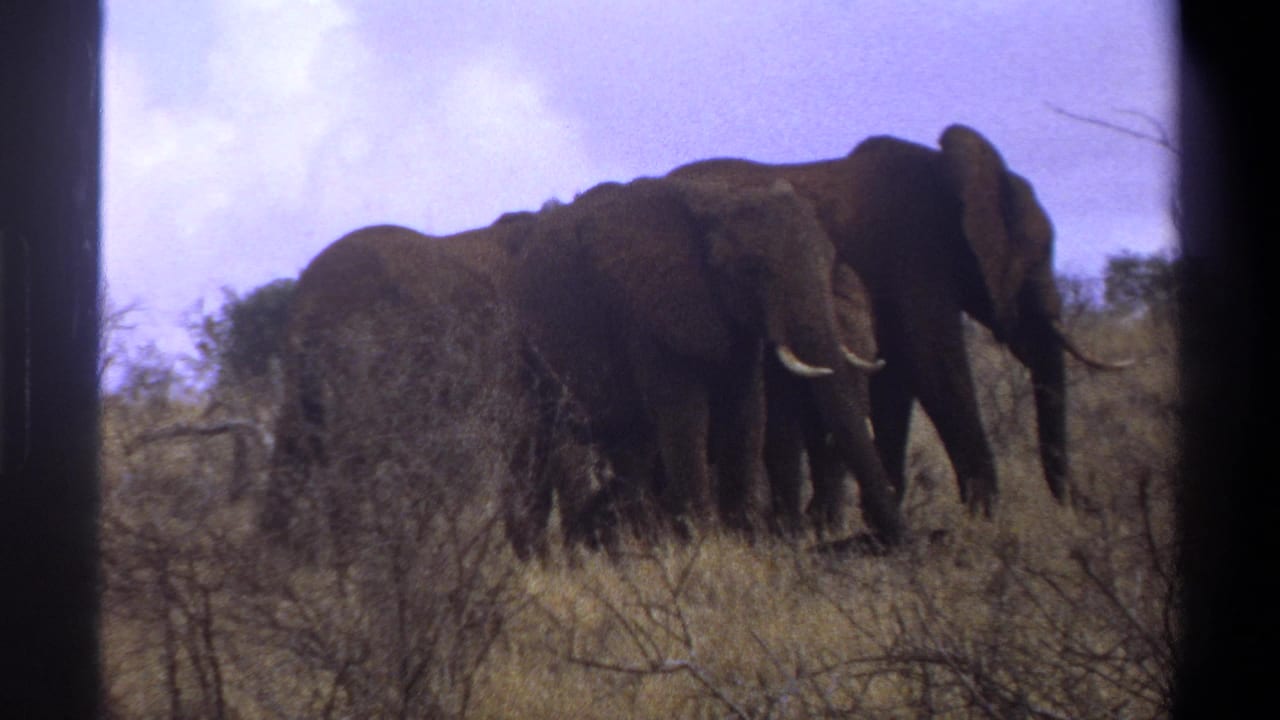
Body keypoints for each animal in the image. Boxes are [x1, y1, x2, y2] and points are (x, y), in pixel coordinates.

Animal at [504, 176, 902, 545]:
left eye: (827, 262)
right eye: (754, 271)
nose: (892, 539)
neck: (713, 202)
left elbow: (747, 411)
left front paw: (742, 540)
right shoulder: (650, 312)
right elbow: (684, 415)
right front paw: (704, 544)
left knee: (628, 446)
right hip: (527, 348)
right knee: (548, 440)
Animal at [671, 124, 1129, 518]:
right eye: (1037, 259)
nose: (1084, 507)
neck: (950, 175)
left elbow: (896, 383)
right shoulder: (914, 257)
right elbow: (934, 367)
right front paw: (985, 521)